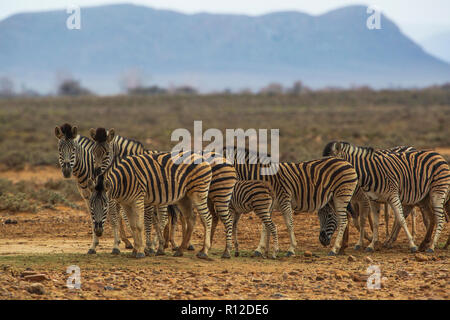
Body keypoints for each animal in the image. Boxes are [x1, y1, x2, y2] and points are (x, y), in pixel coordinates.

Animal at [88, 127, 236, 258]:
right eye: (93, 152)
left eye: (107, 153)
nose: (96, 173)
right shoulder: (128, 202)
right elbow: (136, 224)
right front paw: (141, 248)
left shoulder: (142, 199)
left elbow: (144, 223)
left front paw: (145, 249)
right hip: (186, 197)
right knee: (194, 218)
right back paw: (182, 250)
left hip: (211, 194)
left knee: (214, 218)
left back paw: (216, 251)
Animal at [224, 147, 358, 255]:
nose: (322, 240)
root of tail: (346, 162)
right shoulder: (267, 204)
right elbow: (264, 226)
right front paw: (260, 249)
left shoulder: (284, 199)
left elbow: (289, 224)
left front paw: (291, 249)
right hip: (333, 198)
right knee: (344, 218)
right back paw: (340, 248)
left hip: (342, 195)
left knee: (343, 220)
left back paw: (334, 250)